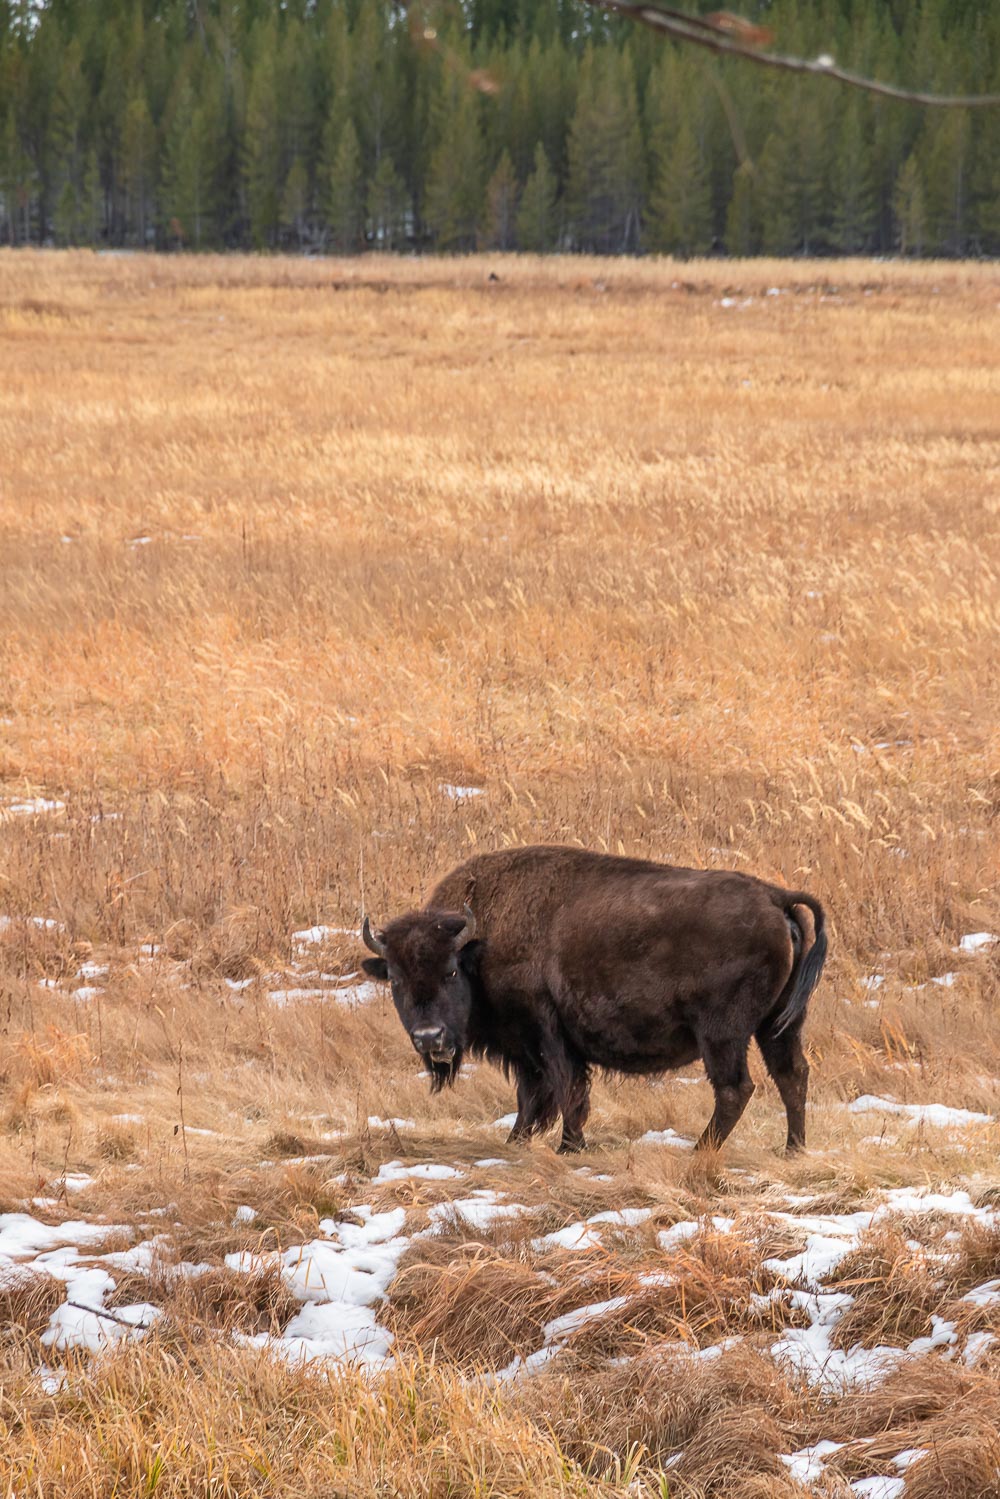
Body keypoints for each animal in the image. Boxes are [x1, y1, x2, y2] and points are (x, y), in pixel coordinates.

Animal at [359, 851, 827, 1151]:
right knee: (792, 1075)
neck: (480, 944)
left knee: (735, 1088)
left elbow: (563, 1090)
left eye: (450, 972)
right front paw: (518, 1141)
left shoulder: (544, 1036)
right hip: (780, 1024)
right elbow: (533, 1098)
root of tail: (775, 897)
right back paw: (793, 1149)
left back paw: (701, 1151)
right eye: (396, 980)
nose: (429, 1037)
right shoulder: (528, 1050)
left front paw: (569, 1146)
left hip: (723, 1034)